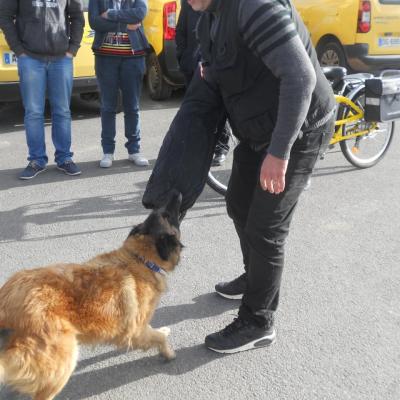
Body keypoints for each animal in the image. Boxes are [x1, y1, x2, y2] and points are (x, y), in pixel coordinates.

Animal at [0, 192, 184, 398]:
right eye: (168, 215)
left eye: (162, 212)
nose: (177, 192)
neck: (141, 259)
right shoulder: (136, 331)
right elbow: (159, 338)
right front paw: (168, 353)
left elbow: (156, 332)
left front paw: (162, 332)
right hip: (64, 358)